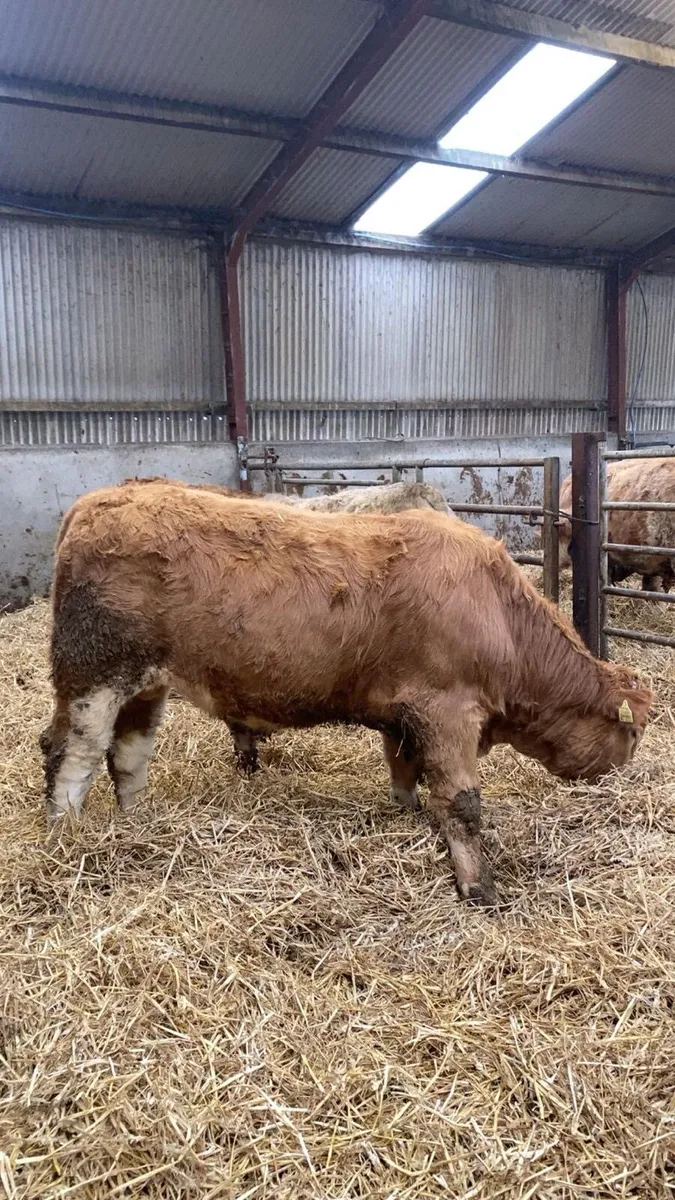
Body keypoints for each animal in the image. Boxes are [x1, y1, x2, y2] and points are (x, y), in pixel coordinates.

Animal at [40, 481, 651, 906]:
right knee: (72, 752)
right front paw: (478, 887)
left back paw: (137, 823)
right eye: (634, 734)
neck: (498, 611)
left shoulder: (404, 718)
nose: (620, 776)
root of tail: (98, 502)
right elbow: (462, 804)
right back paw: (69, 837)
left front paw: (410, 819)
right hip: (94, 672)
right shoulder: (447, 711)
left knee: (128, 753)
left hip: (147, 684)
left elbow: (406, 777)